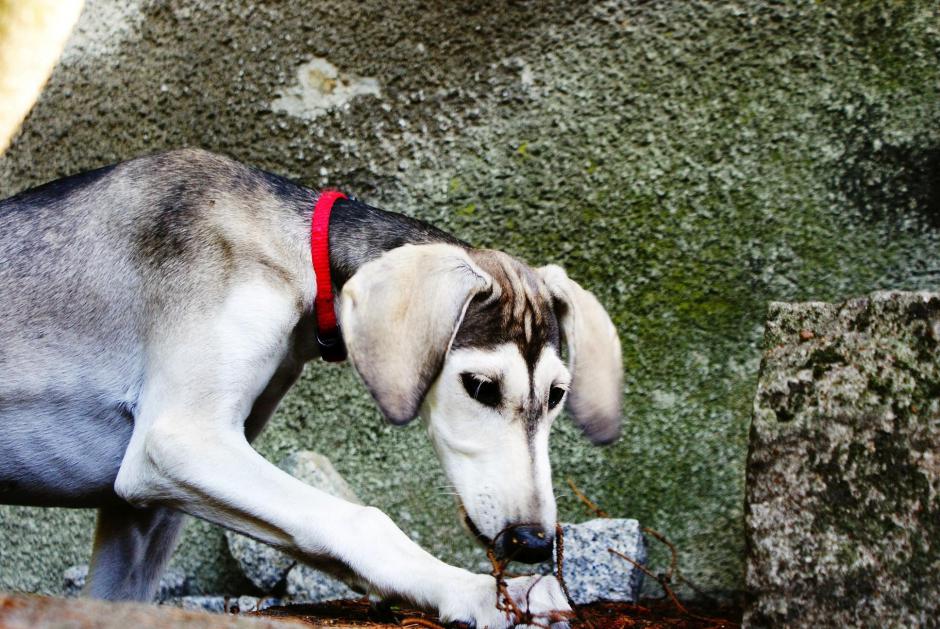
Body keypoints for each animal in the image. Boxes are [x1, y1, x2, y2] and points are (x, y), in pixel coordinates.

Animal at [0, 150, 624, 624]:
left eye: (558, 395)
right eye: (480, 386)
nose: (534, 543)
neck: (296, 249)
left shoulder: (143, 510)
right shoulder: (176, 444)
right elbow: (359, 520)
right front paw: (472, 591)